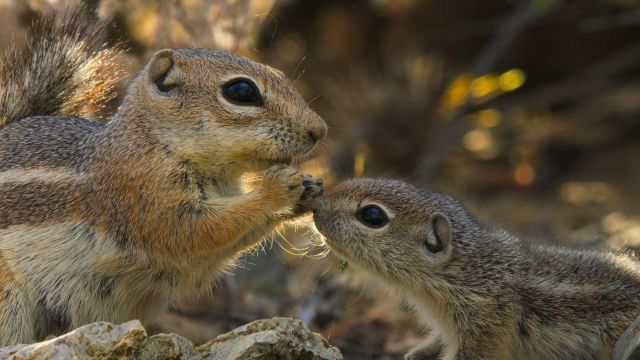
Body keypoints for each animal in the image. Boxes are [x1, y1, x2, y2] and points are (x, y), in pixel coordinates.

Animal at [0, 10, 328, 344]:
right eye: (241, 92)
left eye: (282, 76)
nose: (319, 130)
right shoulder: (143, 193)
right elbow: (193, 230)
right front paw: (276, 188)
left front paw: (307, 190)